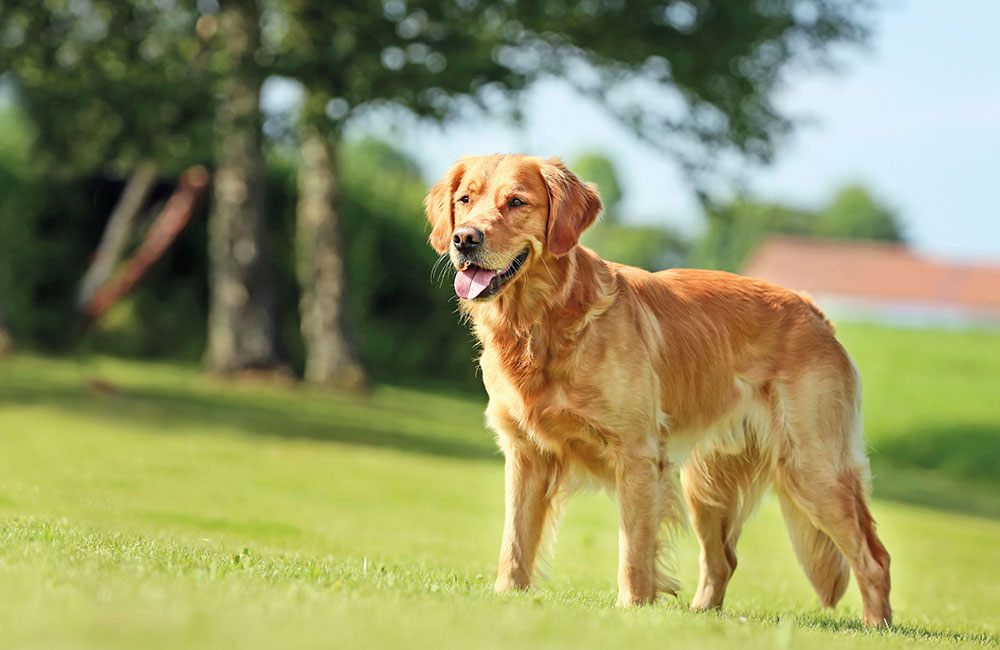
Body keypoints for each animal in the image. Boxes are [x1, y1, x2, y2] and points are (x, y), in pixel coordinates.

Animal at [422, 152, 892, 624]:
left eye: (517, 202)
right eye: (465, 200)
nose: (464, 239)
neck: (543, 321)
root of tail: (813, 310)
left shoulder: (636, 455)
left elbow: (633, 548)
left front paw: (632, 609)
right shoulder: (526, 453)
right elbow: (515, 542)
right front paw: (506, 597)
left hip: (812, 466)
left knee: (874, 558)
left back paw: (875, 626)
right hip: (707, 482)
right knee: (722, 559)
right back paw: (702, 614)